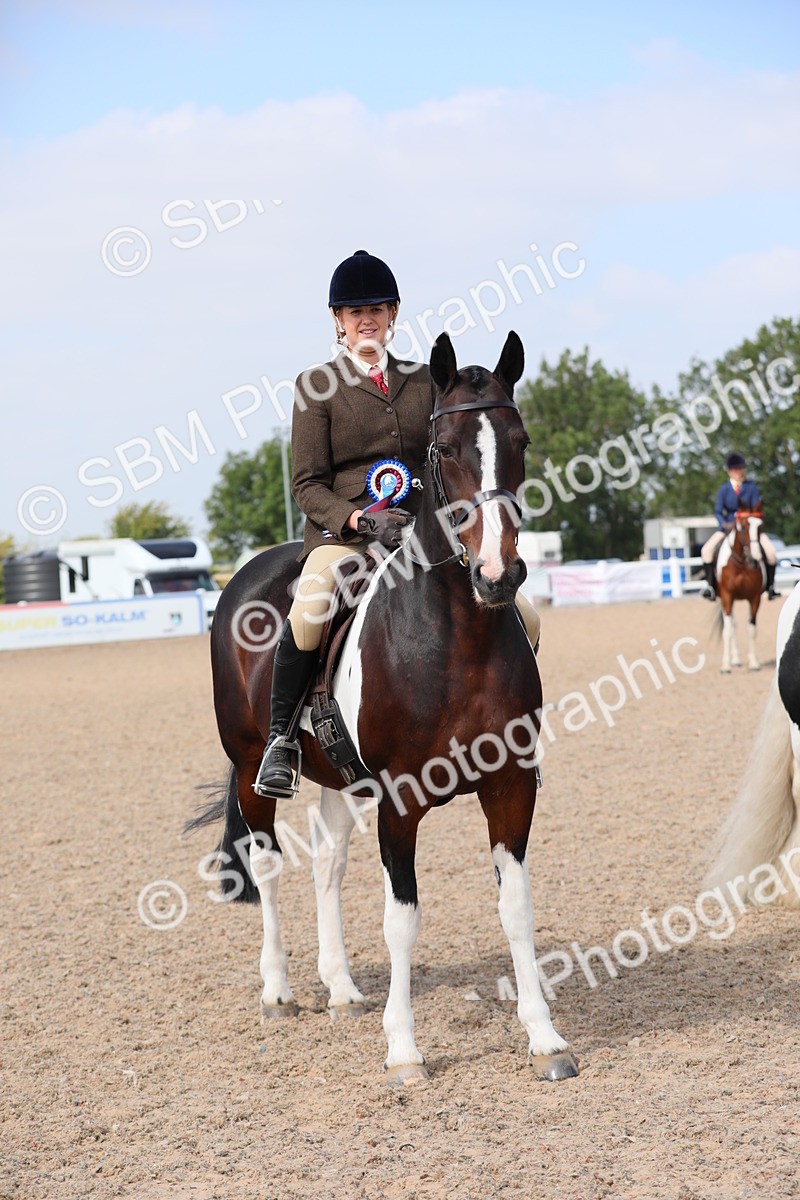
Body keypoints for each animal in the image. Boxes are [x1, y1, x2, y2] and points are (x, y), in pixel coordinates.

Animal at [187, 330, 579, 1087]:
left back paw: (340, 988)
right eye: (443, 449)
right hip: (251, 764)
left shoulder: (511, 786)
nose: (500, 575)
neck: (458, 636)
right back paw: (278, 991)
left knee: (327, 866)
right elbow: (403, 917)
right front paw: (404, 1052)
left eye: (519, 440)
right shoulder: (402, 798)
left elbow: (516, 907)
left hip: (339, 779)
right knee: (268, 863)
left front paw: (545, 1037)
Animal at [714, 504, 765, 673]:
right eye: (742, 526)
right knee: (731, 625)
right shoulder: (727, 596)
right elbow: (727, 630)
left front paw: (754, 662)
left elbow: (752, 629)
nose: (754, 560)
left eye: (760, 526)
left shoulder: (755, 597)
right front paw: (725, 665)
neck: (742, 564)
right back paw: (734, 659)